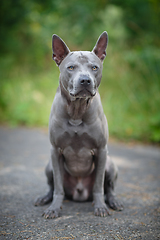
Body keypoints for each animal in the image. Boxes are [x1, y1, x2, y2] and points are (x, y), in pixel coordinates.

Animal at [34, 31, 122, 218]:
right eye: (71, 67)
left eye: (94, 68)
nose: (85, 80)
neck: (77, 110)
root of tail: (79, 193)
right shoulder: (55, 151)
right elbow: (58, 187)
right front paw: (54, 208)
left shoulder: (101, 150)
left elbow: (98, 185)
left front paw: (100, 207)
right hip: (49, 166)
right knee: (52, 186)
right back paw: (44, 198)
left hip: (110, 164)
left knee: (109, 188)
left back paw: (113, 201)